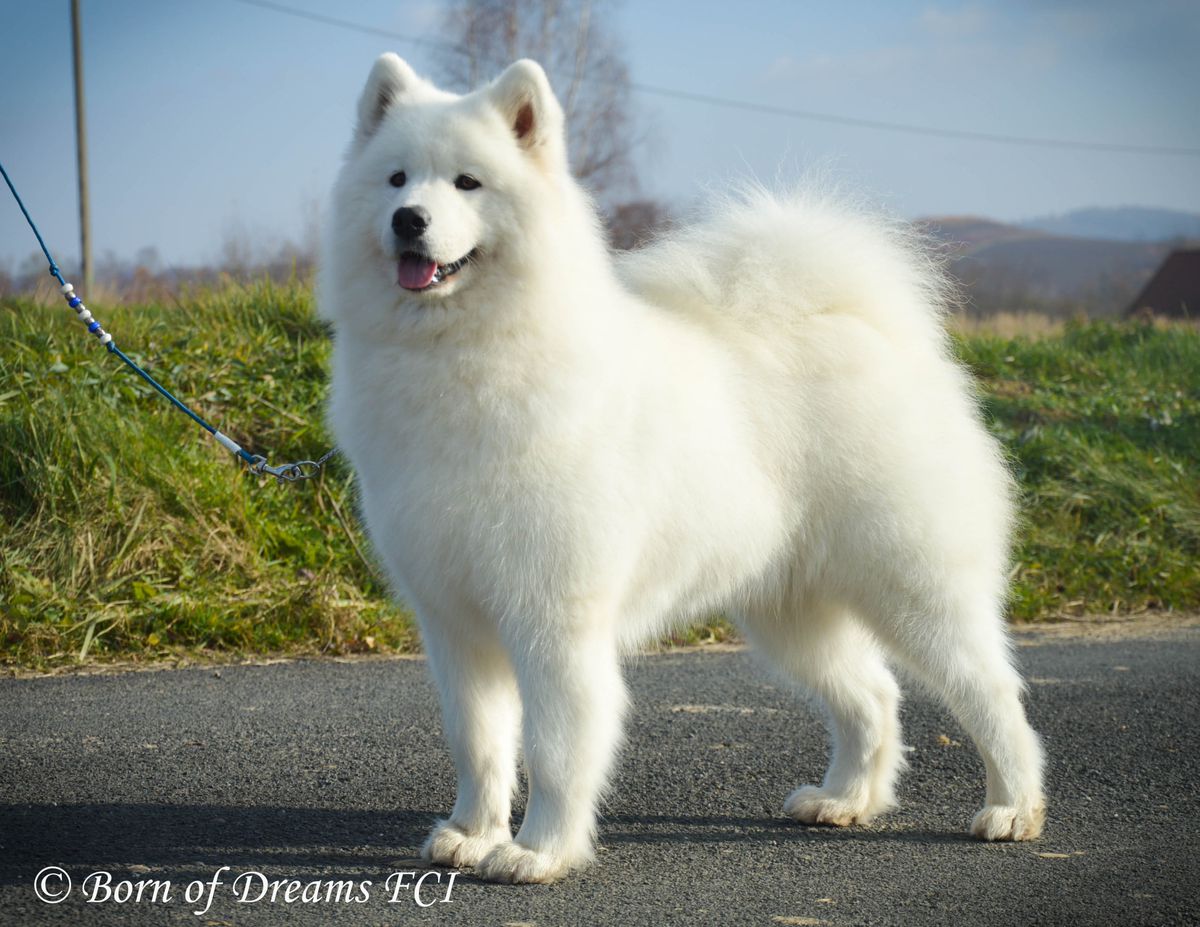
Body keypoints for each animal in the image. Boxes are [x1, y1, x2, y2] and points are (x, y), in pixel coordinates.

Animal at [319, 53, 1046, 884]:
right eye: (396, 179)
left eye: (467, 183)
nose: (409, 219)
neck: (463, 360)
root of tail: (874, 330)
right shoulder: (453, 620)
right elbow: (478, 742)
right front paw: (472, 833)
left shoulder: (553, 616)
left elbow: (557, 746)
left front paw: (539, 849)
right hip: (791, 610)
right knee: (874, 693)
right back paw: (845, 798)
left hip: (914, 587)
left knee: (992, 693)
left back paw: (1013, 808)